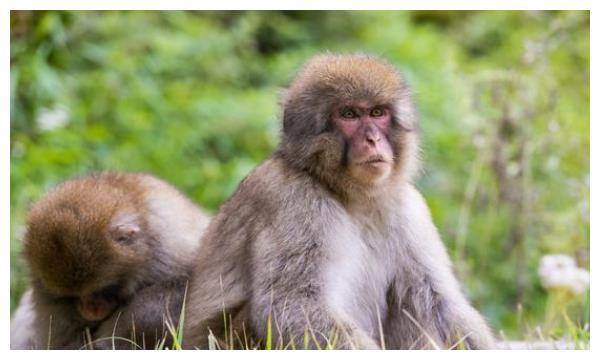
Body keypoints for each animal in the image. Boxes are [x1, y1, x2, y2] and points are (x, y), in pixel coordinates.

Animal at [182, 53, 492, 348]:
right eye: (349, 114)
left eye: (377, 113)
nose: (373, 139)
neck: (349, 195)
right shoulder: (294, 201)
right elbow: (292, 304)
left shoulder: (408, 205)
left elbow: (439, 300)